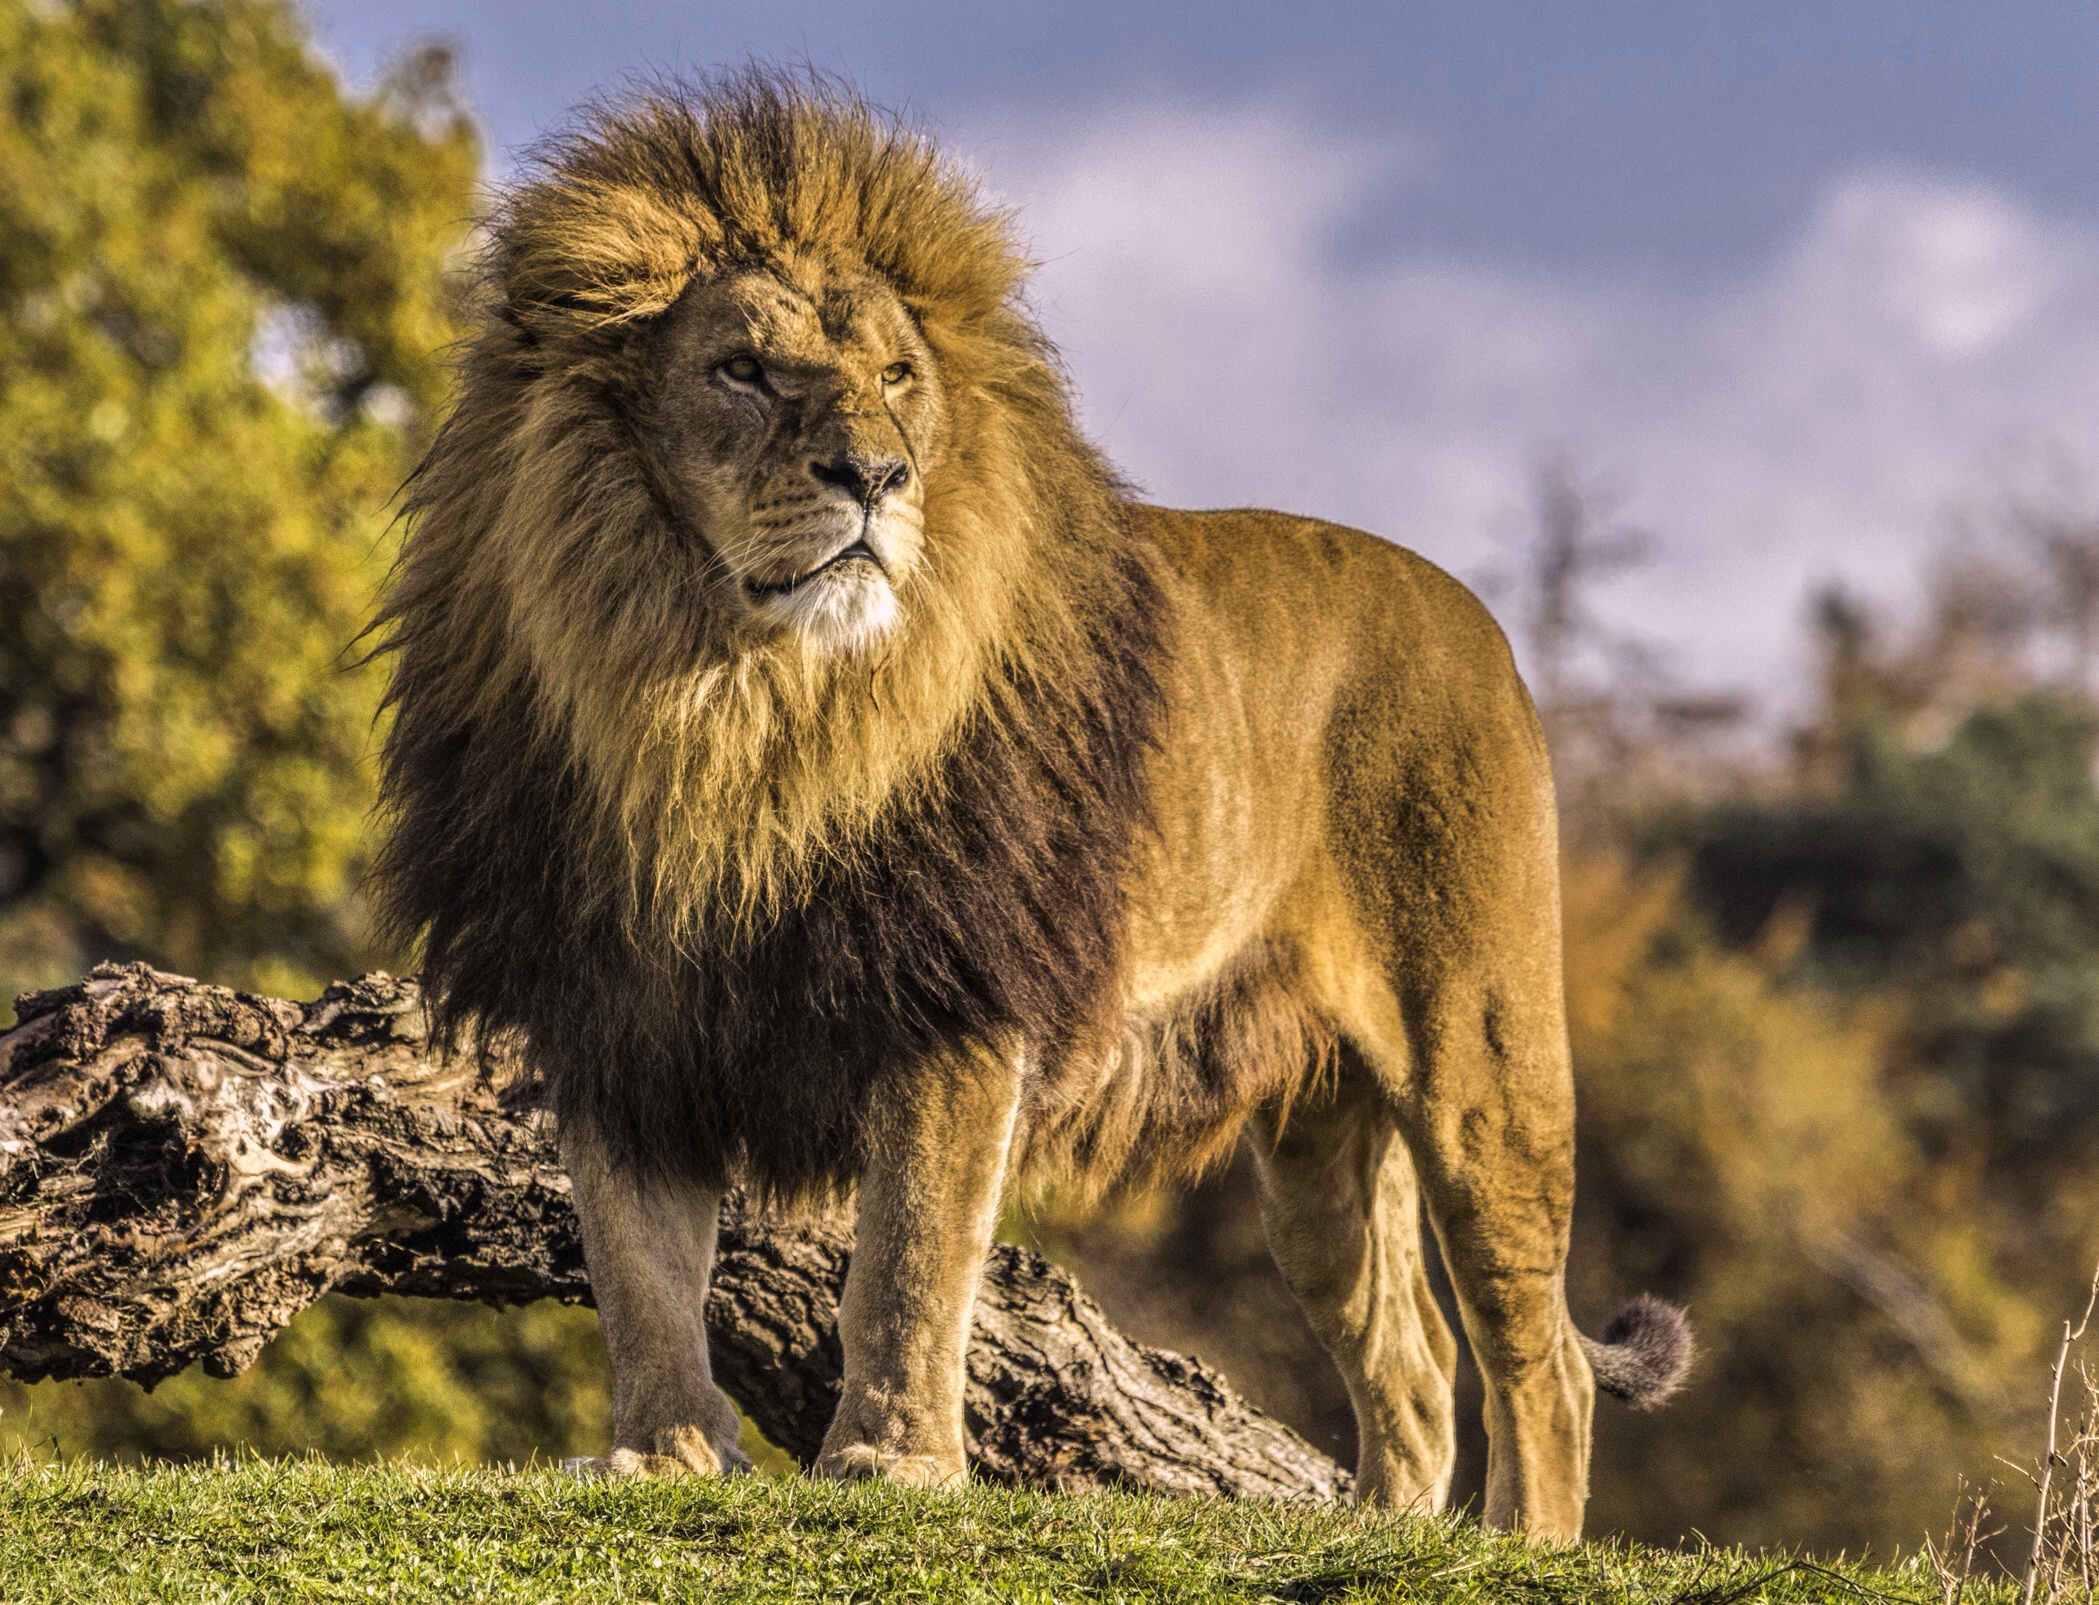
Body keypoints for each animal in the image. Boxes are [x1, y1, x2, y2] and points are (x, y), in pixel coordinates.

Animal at [373, 75, 1687, 1544]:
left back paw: (1527, 1545)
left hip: (1480, 1066)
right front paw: (659, 1453)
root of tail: (1481, 627)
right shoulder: (615, 1008)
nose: (875, 476)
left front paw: (891, 1462)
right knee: (1410, 1364)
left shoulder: (952, 995)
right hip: (1316, 1147)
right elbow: (638, 1265)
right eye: (743, 371)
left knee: (1541, 1359)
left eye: (898, 379)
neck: (726, 712)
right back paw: (1386, 1533)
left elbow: (910, 1254)